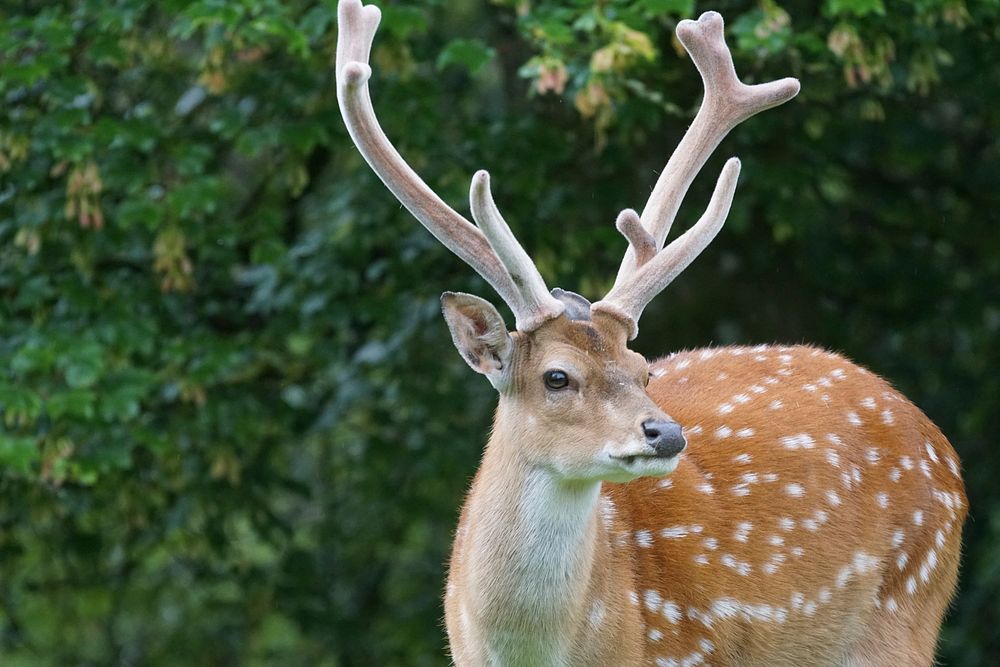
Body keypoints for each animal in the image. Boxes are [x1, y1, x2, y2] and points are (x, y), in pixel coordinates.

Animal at [338, 2, 968, 664]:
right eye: (556, 377)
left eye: (644, 370)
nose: (666, 433)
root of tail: (941, 447)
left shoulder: (687, 648)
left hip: (908, 607)